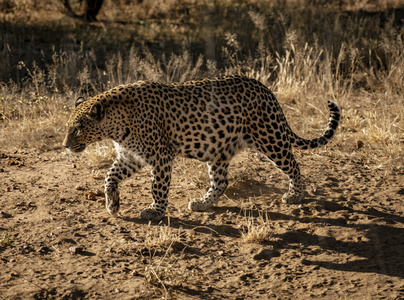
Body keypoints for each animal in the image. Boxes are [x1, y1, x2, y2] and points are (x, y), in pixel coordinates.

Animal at [63, 75, 340, 220]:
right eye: (69, 126)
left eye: (77, 128)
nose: (65, 145)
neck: (116, 124)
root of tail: (267, 90)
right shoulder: (131, 156)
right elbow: (109, 177)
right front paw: (112, 204)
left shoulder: (161, 156)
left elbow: (158, 187)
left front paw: (155, 211)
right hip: (219, 149)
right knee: (221, 182)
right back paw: (203, 204)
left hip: (270, 138)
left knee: (294, 165)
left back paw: (295, 195)